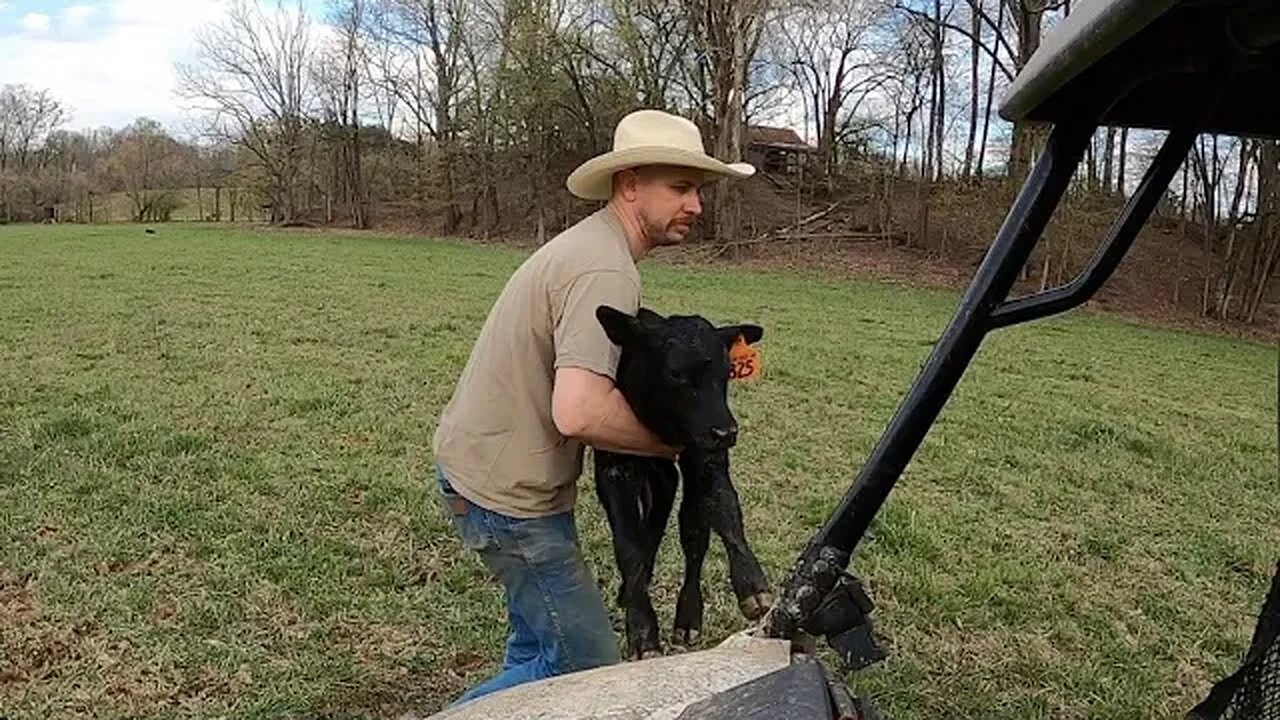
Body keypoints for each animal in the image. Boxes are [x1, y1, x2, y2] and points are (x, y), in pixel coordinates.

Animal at [591, 302, 768, 655]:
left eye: (727, 372)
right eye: (675, 372)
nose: (726, 432)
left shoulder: (707, 457)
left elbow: (724, 511)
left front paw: (752, 584)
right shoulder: (611, 466)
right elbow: (627, 544)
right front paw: (642, 630)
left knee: (690, 527)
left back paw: (687, 617)